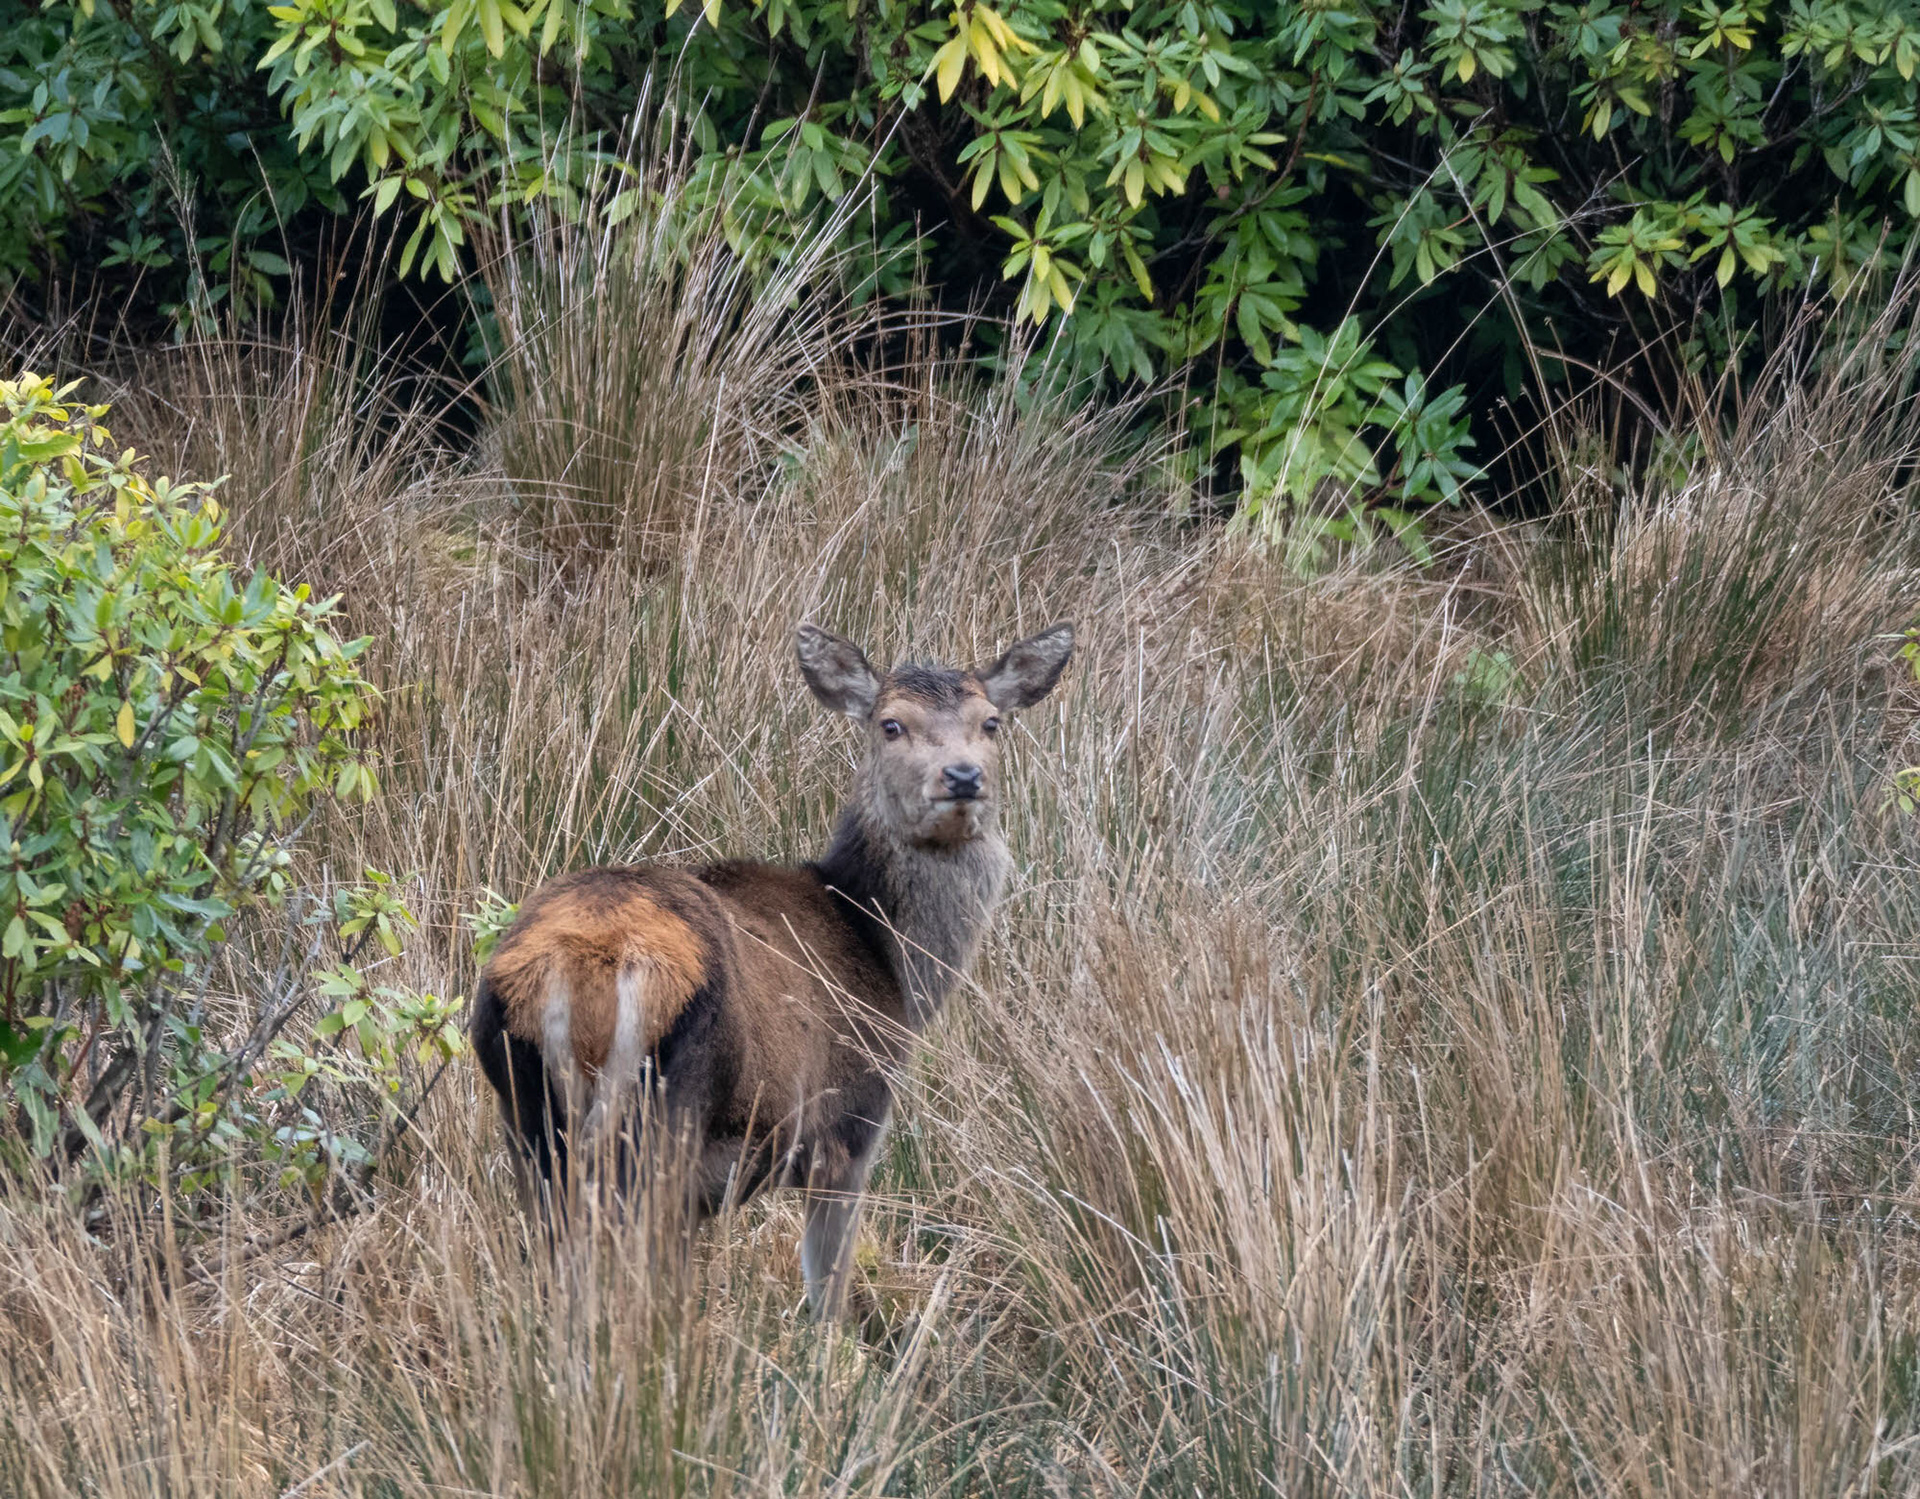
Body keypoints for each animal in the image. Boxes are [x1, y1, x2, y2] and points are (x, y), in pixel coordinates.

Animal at [469, 621, 1074, 1317]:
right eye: (891, 724)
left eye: (991, 722)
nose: (963, 776)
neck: (888, 963)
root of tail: (581, 965)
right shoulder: (849, 1124)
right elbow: (828, 1293)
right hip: (670, 1116)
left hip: (523, 1111)